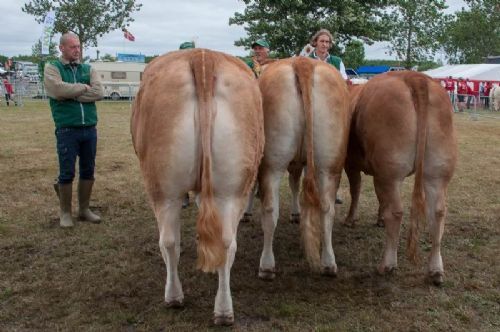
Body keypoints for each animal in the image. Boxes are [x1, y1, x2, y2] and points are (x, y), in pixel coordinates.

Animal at [132, 48, 266, 324]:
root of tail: (203, 57)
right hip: (232, 187)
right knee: (226, 243)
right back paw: (224, 311)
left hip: (162, 188)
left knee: (168, 241)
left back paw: (173, 297)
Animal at [256, 57, 350, 278]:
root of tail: (303, 62)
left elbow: (293, 184)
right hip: (329, 164)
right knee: (327, 209)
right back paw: (328, 263)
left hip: (271, 163)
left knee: (270, 208)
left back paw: (266, 265)